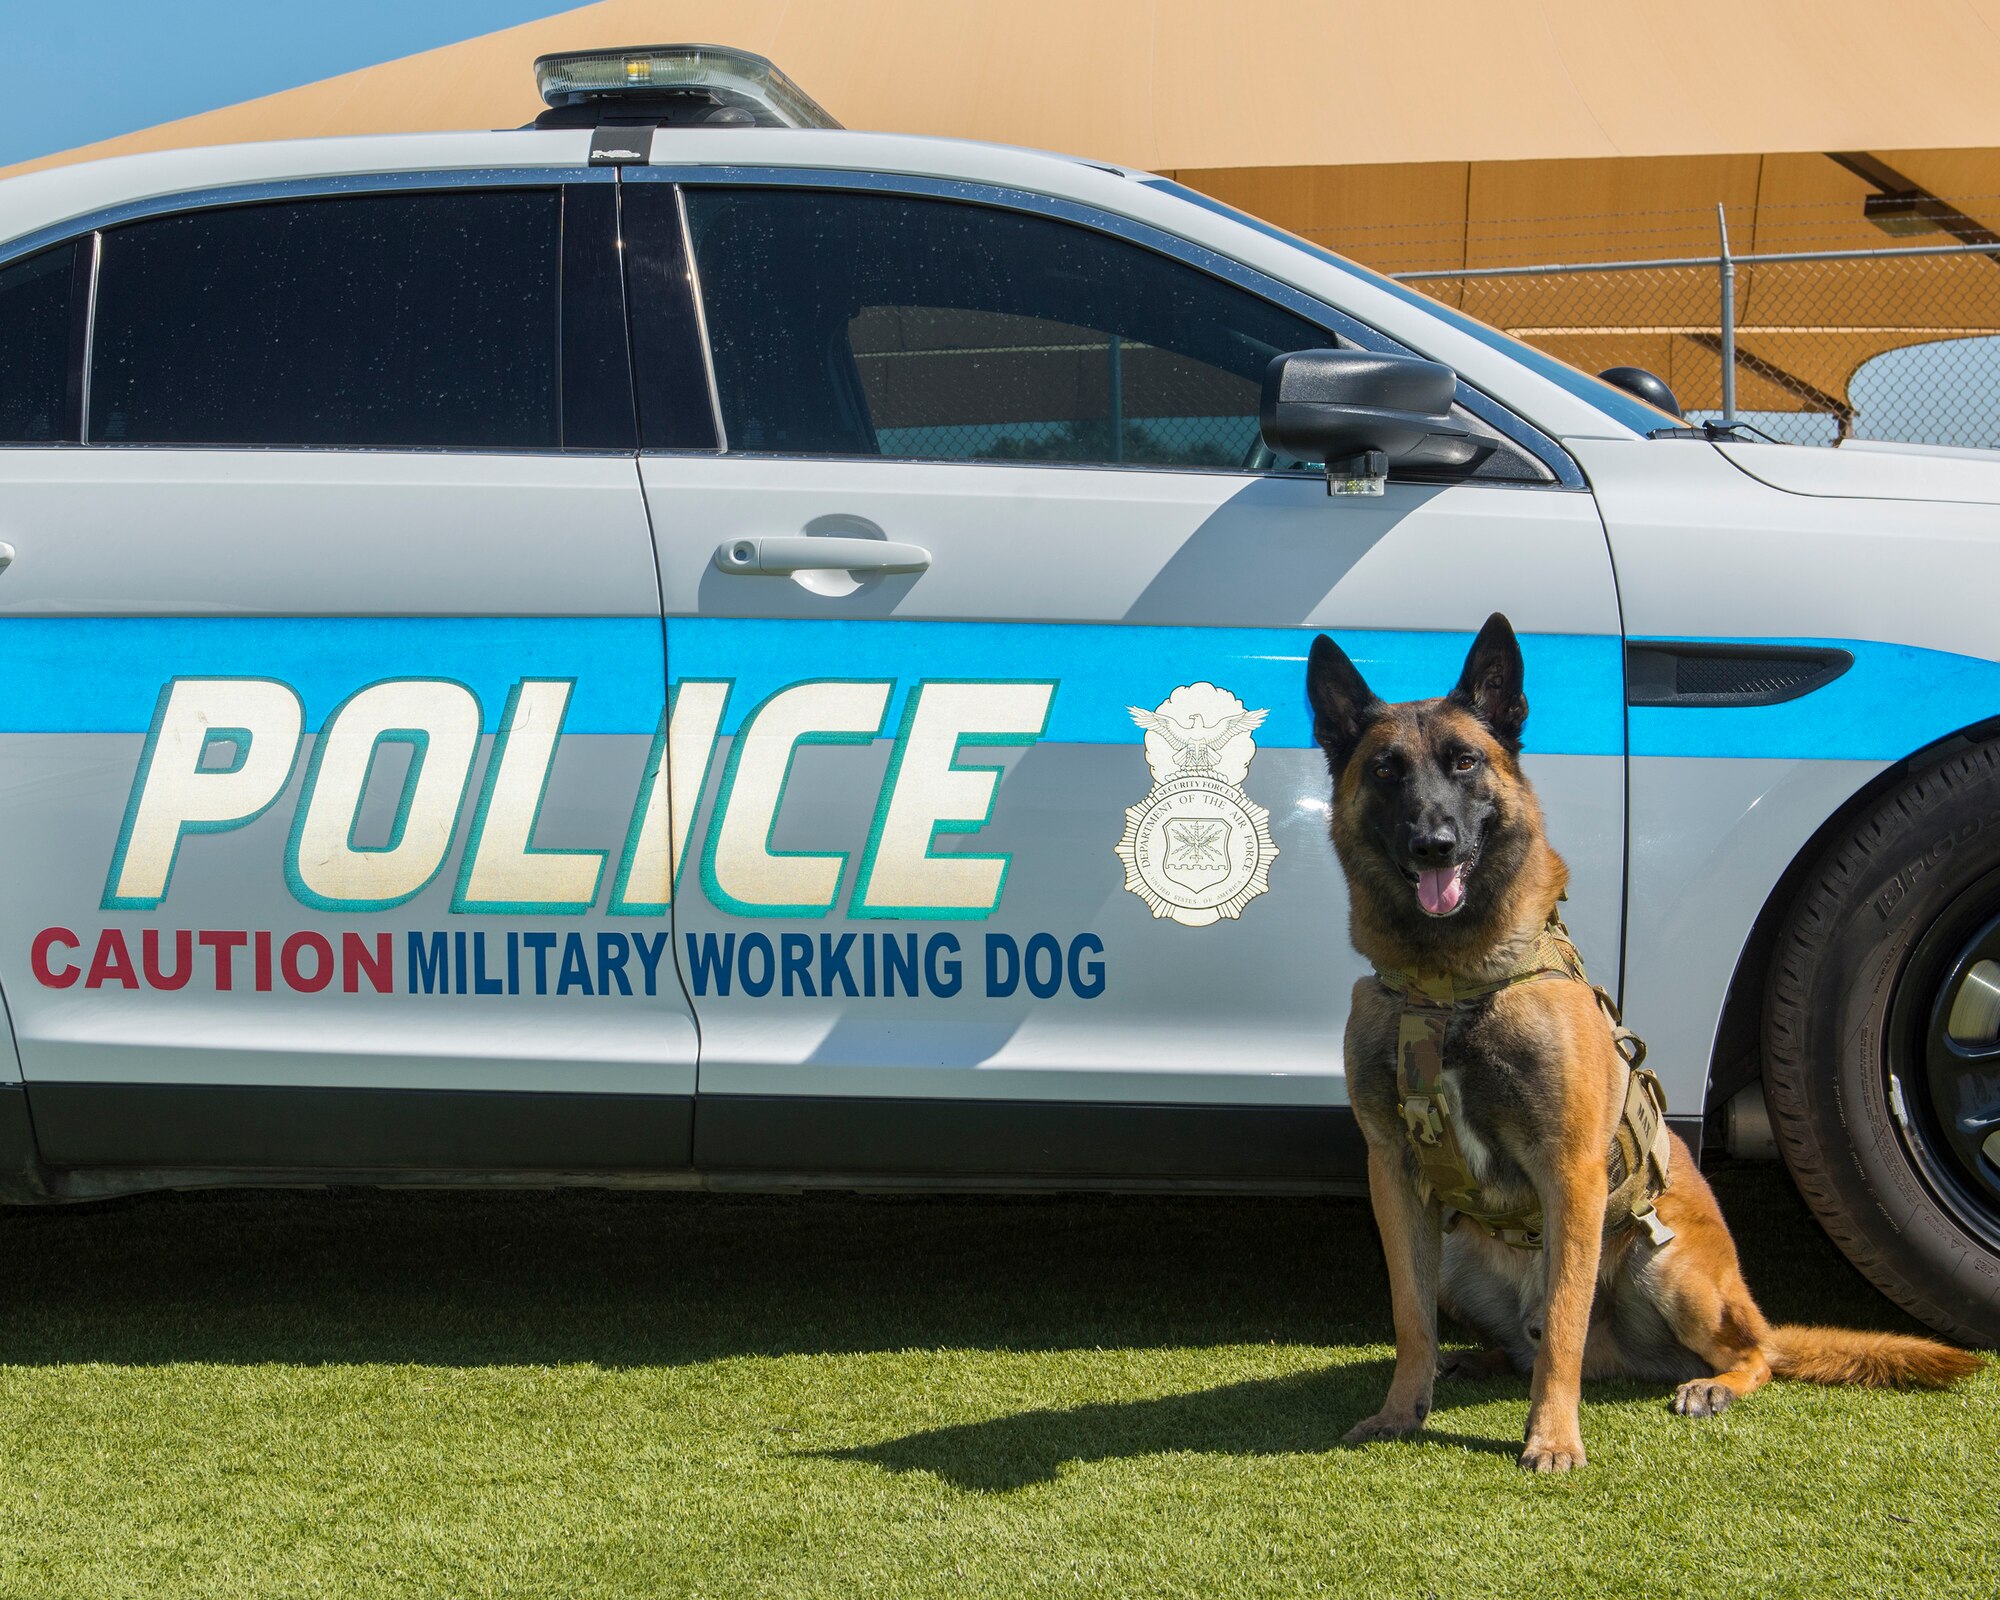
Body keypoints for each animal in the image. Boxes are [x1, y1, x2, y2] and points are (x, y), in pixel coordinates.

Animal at [1304, 612, 1976, 1472]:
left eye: (1464, 762)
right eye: (1387, 770)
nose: (1434, 844)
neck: (1449, 986)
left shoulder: (1570, 1175)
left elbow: (1562, 1322)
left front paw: (1553, 1437)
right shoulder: (1394, 1178)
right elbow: (1409, 1318)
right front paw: (1401, 1411)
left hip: (1672, 1270)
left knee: (1750, 1353)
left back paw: (1711, 1384)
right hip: (1457, 1254)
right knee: (1514, 1343)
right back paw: (1476, 1361)